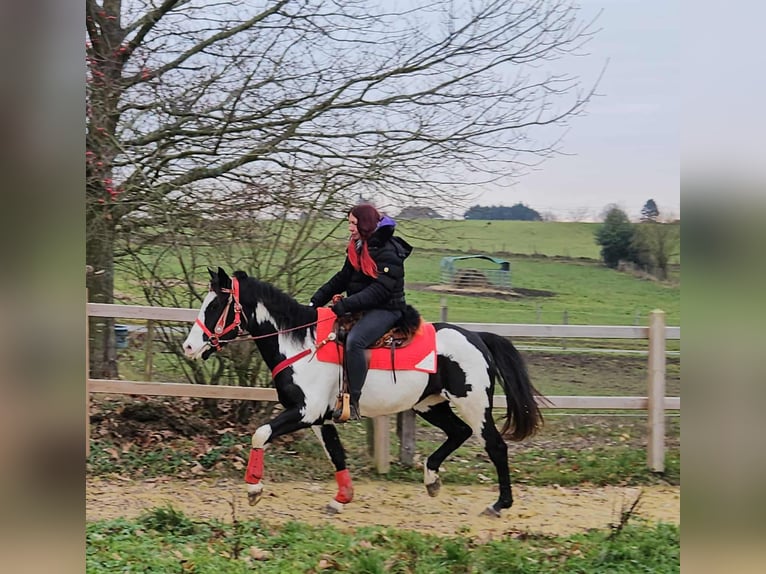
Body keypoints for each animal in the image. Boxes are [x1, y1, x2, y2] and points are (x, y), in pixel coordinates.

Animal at [182, 267, 545, 516]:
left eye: (215, 307)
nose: (188, 347)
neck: (302, 344)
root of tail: (477, 337)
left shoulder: (305, 412)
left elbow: (260, 433)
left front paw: (254, 489)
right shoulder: (320, 418)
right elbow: (336, 454)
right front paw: (341, 500)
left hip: (474, 404)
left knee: (495, 445)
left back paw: (500, 504)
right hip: (430, 404)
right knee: (458, 433)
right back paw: (432, 480)